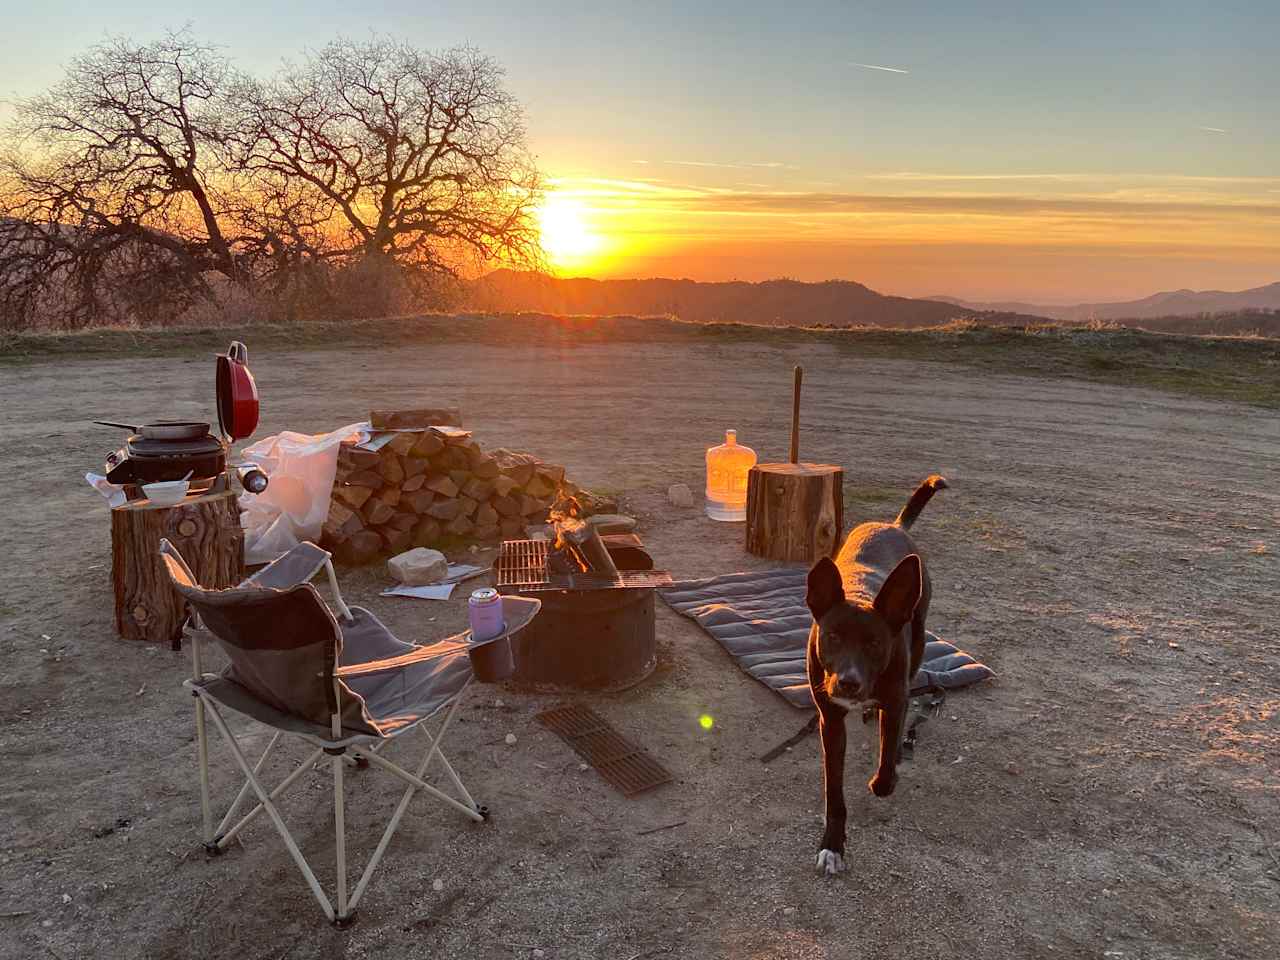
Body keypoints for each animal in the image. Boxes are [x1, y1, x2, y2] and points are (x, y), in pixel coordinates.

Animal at [803, 478, 947, 875]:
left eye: (875, 643)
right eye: (832, 636)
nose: (848, 683)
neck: (860, 594)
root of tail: (893, 524)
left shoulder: (895, 698)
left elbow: (884, 762)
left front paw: (886, 775)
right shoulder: (831, 721)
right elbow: (833, 792)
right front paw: (832, 844)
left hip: (919, 637)